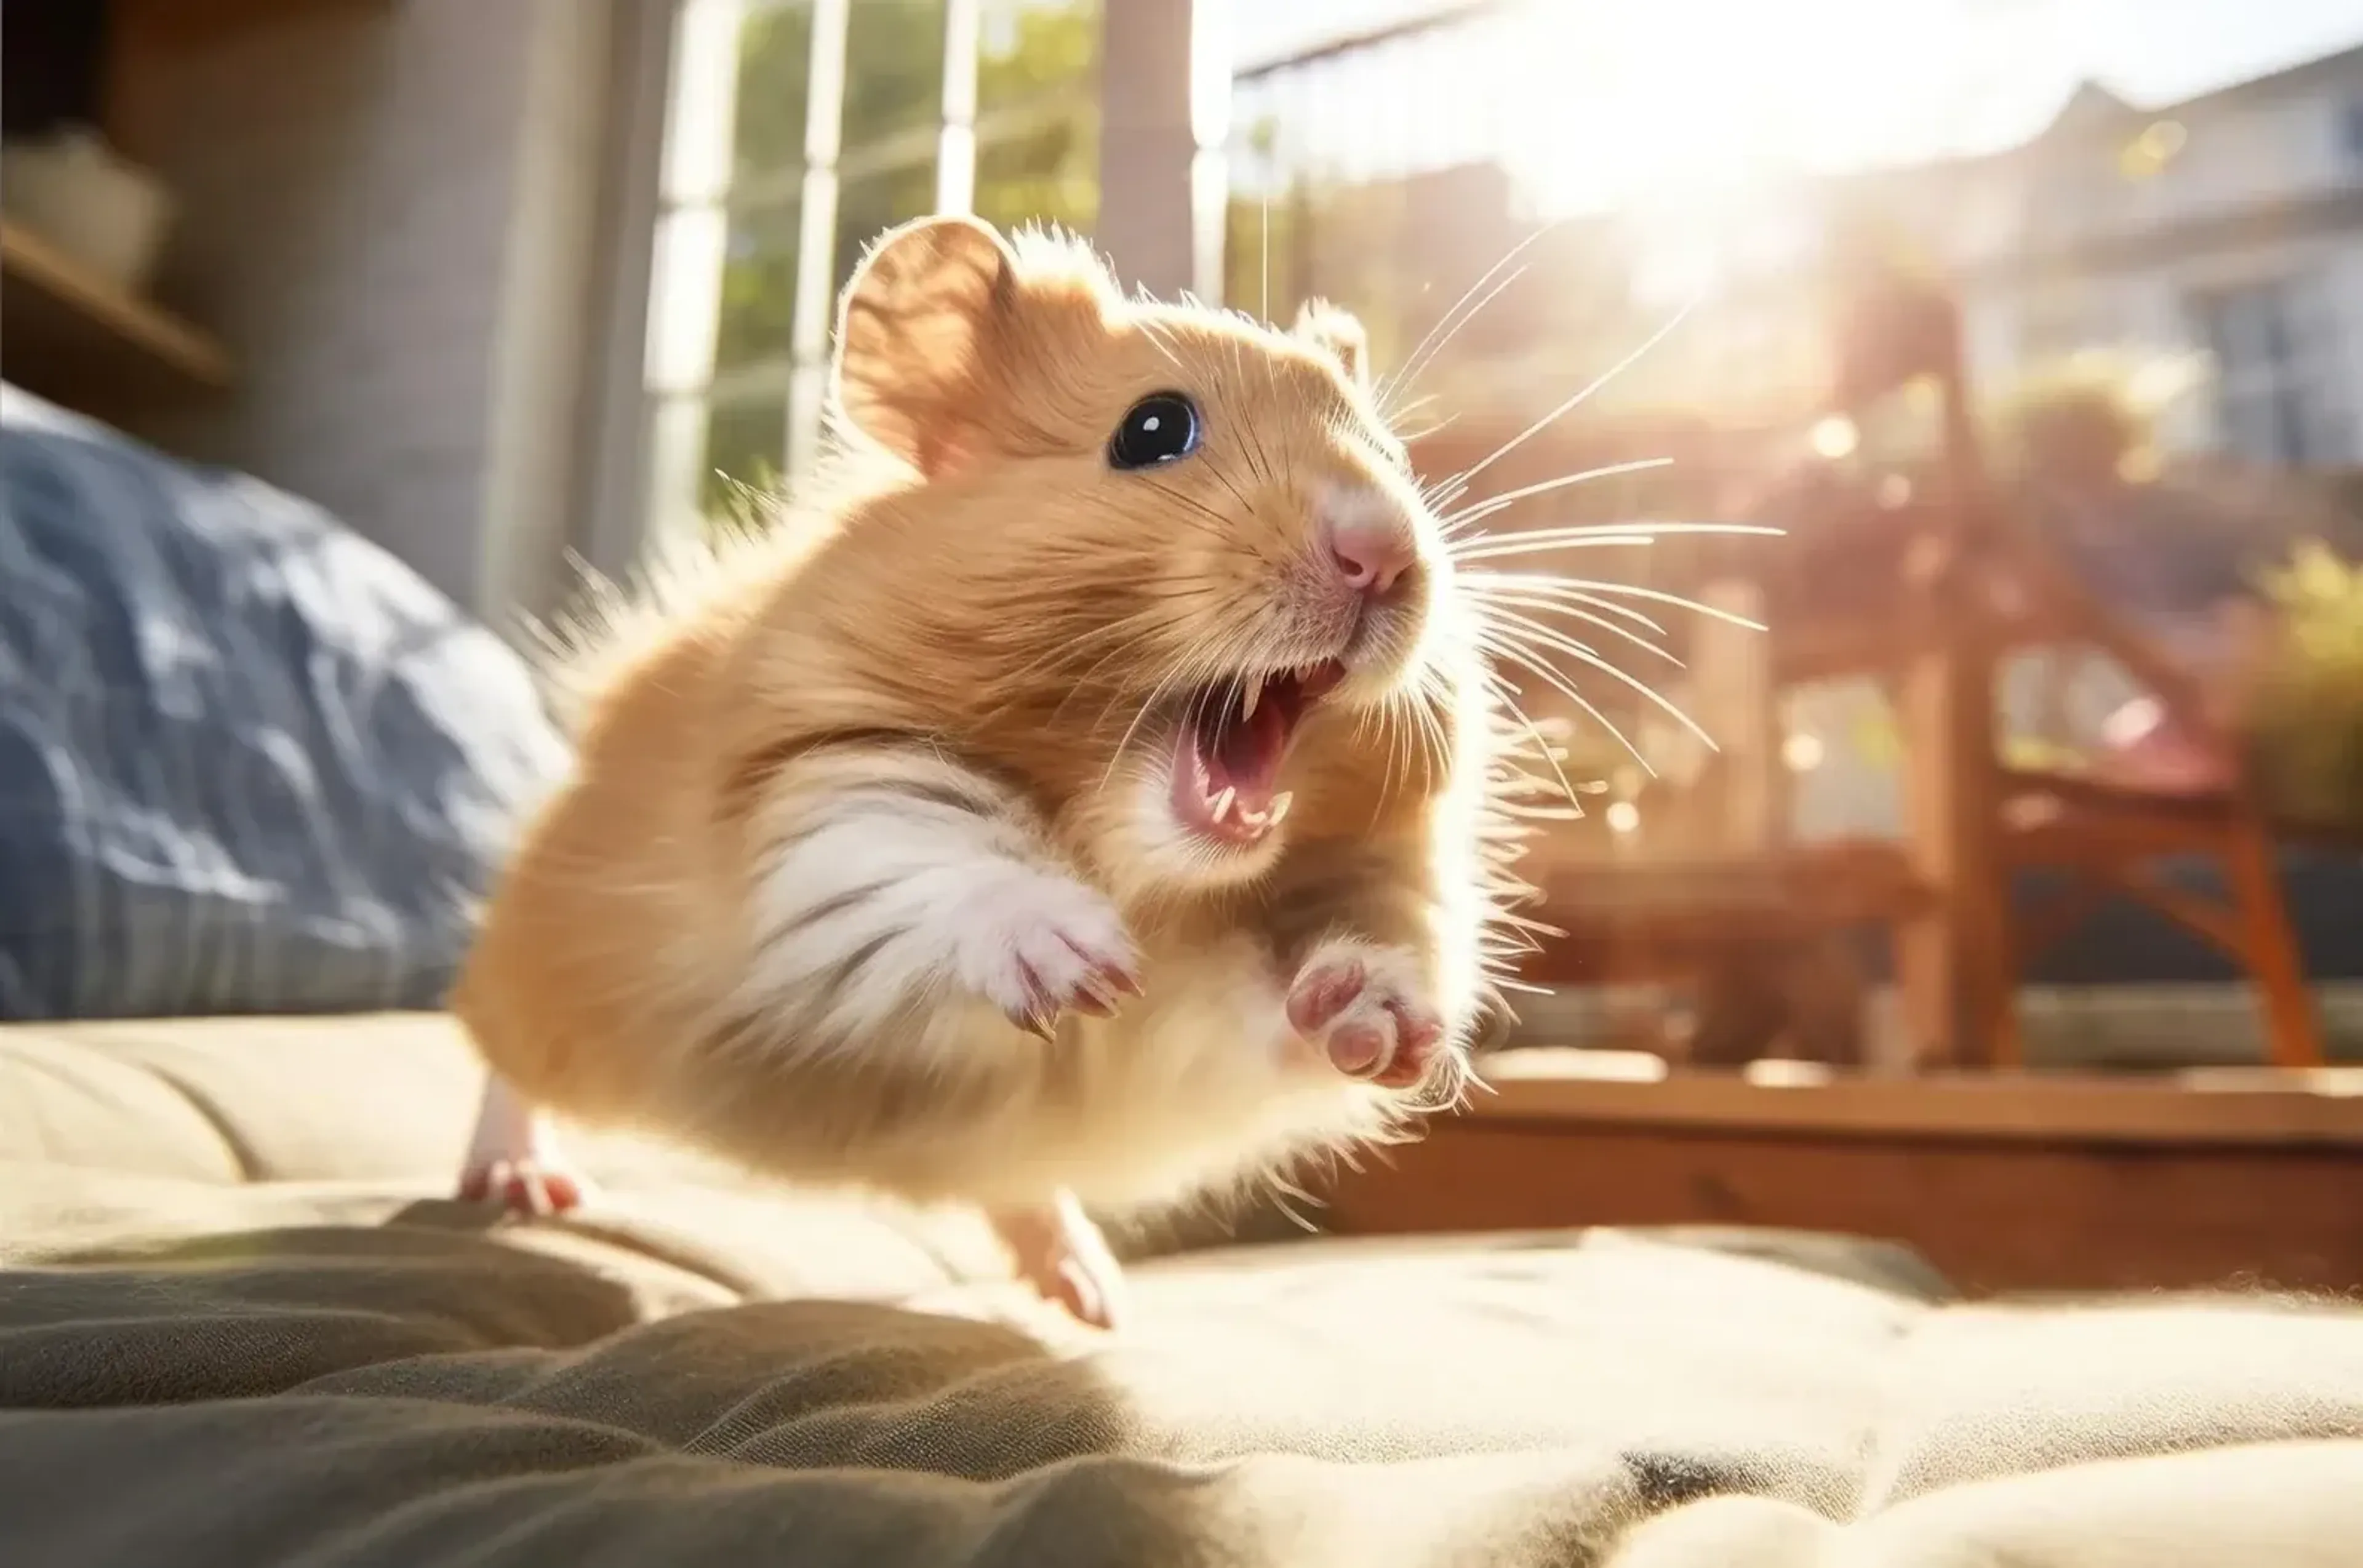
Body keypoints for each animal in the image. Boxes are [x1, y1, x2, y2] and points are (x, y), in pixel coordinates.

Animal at [451, 215, 1529, 1328]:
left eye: (1394, 454)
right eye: (1153, 431)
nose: (1385, 554)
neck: (1147, 870)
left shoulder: (1203, 1025)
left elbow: (1296, 997)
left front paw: (1384, 1023)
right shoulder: (815, 790)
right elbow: (937, 850)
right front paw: (1082, 965)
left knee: (1017, 1191)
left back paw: (1090, 1293)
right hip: (556, 1000)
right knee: (500, 1060)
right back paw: (520, 1182)